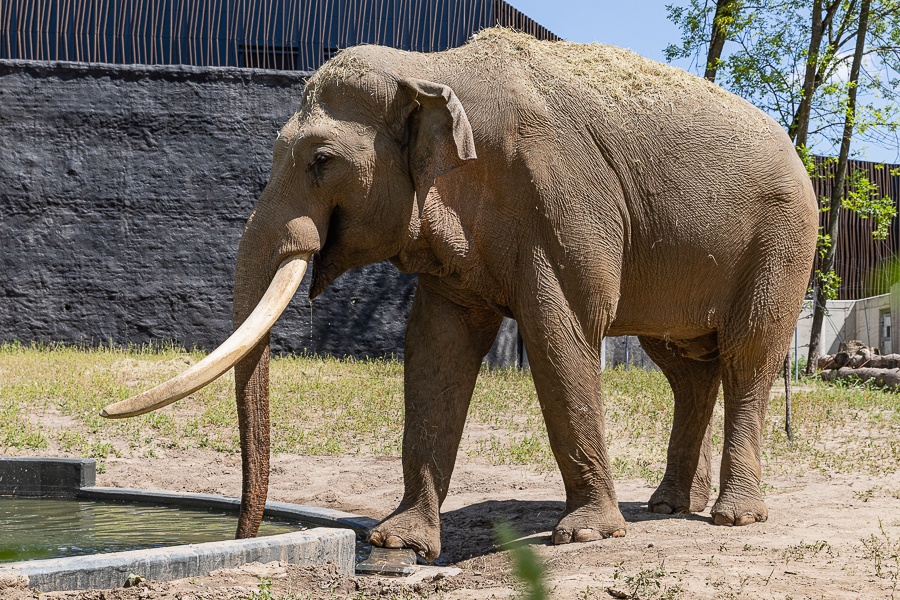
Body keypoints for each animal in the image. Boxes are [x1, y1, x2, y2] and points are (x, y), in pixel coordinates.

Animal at [102, 28, 820, 564]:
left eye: (320, 160)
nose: (244, 535)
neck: (431, 69)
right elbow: (435, 348)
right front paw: (399, 542)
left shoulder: (565, 202)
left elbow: (561, 335)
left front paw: (584, 535)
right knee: (685, 367)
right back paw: (668, 507)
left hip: (783, 239)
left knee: (748, 355)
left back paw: (732, 518)